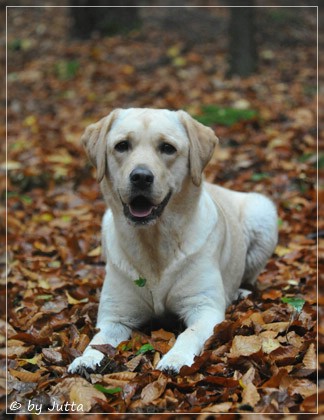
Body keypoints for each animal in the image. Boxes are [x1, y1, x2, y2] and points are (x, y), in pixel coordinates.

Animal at [69, 109, 278, 374]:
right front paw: (86, 359)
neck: (154, 243)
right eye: (122, 145)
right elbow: (98, 339)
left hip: (262, 212)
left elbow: (189, 333)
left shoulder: (204, 308)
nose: (140, 177)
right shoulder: (116, 315)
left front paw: (175, 358)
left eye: (167, 148)